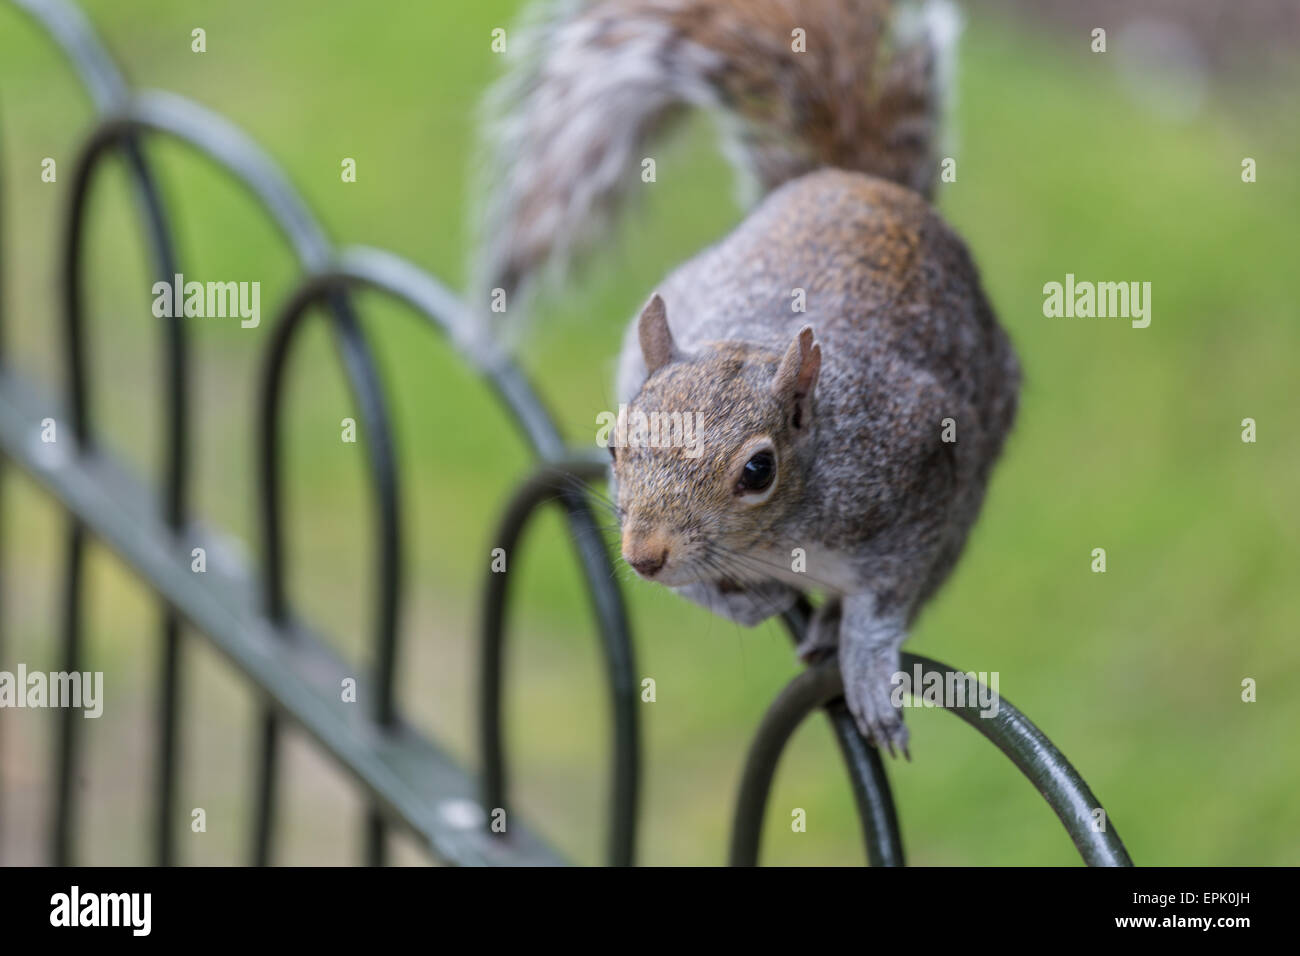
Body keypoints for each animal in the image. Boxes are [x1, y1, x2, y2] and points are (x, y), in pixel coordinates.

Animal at [473, 0, 1019, 754]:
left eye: (758, 472)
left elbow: (887, 597)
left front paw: (864, 661)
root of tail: (857, 181)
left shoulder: (916, 470)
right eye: (612, 446)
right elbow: (701, 586)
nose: (643, 555)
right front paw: (745, 599)